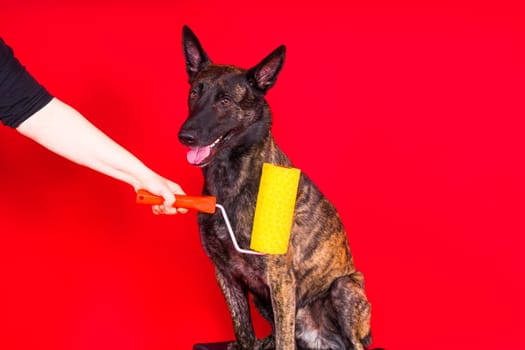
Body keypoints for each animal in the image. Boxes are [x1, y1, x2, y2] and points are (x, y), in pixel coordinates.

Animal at [178, 25, 370, 350]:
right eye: (194, 92)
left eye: (225, 101)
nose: (185, 136)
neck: (232, 180)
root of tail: (322, 341)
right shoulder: (226, 276)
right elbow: (242, 332)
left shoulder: (280, 278)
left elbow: (284, 339)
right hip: (262, 299)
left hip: (345, 287)